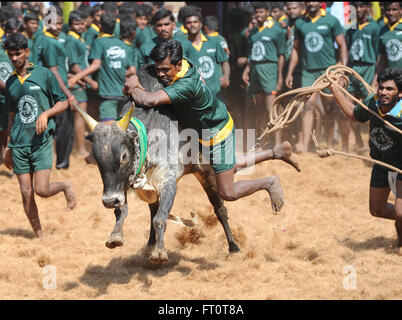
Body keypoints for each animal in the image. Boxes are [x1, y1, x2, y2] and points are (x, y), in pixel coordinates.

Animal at [74, 64, 240, 262]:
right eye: (97, 158)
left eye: (123, 156)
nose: (108, 201)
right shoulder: (123, 184)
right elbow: (123, 210)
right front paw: (115, 237)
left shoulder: (168, 181)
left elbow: (160, 218)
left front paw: (160, 253)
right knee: (153, 209)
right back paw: (150, 243)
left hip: (205, 171)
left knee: (219, 207)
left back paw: (233, 246)